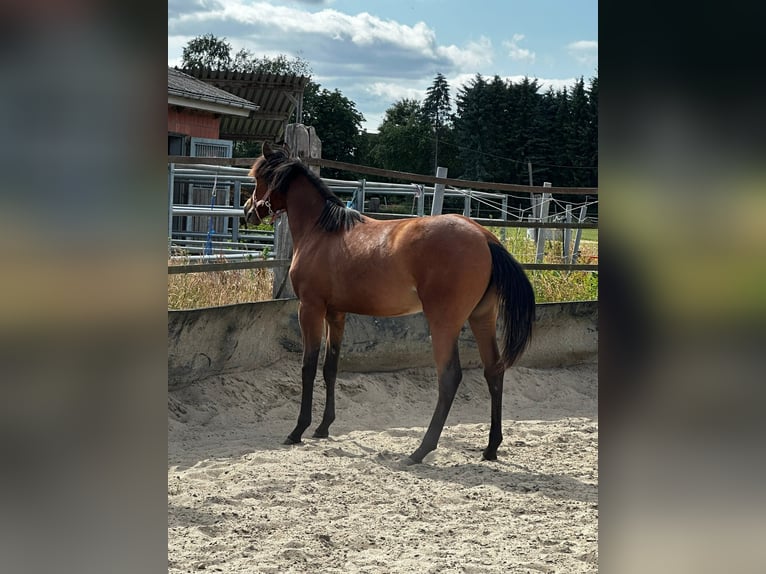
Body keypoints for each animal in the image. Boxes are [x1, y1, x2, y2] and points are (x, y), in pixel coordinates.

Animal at [244, 142, 536, 464]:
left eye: (259, 178)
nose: (247, 212)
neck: (322, 232)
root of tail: (485, 238)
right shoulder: (336, 313)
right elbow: (331, 367)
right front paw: (323, 427)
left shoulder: (310, 308)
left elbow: (308, 367)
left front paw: (298, 430)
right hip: (482, 318)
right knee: (493, 371)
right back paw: (491, 447)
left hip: (444, 324)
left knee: (449, 378)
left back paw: (420, 450)